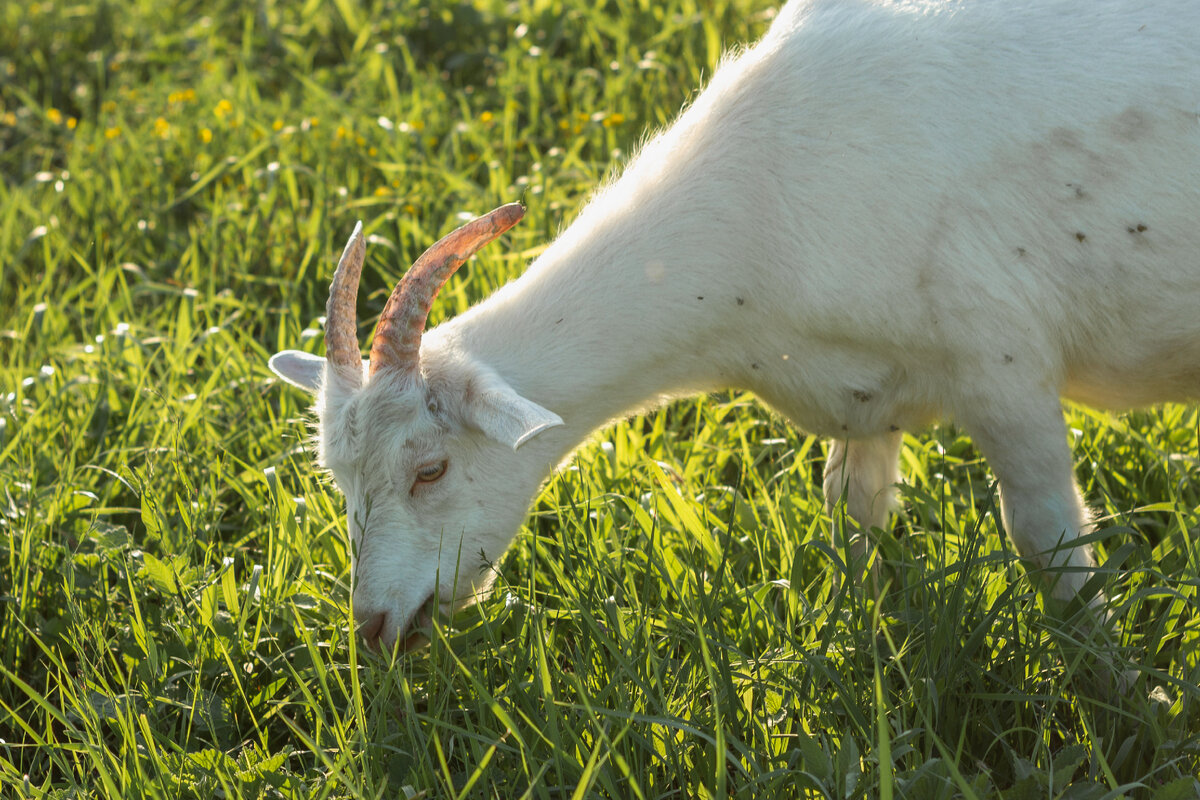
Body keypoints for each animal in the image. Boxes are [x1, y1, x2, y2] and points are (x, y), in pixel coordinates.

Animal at [270, 0, 1200, 652]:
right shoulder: (864, 397)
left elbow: (1049, 544)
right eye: (337, 479)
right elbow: (852, 518)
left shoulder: (1001, 363)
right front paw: (865, 648)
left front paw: (1121, 693)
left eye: (430, 470)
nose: (373, 628)